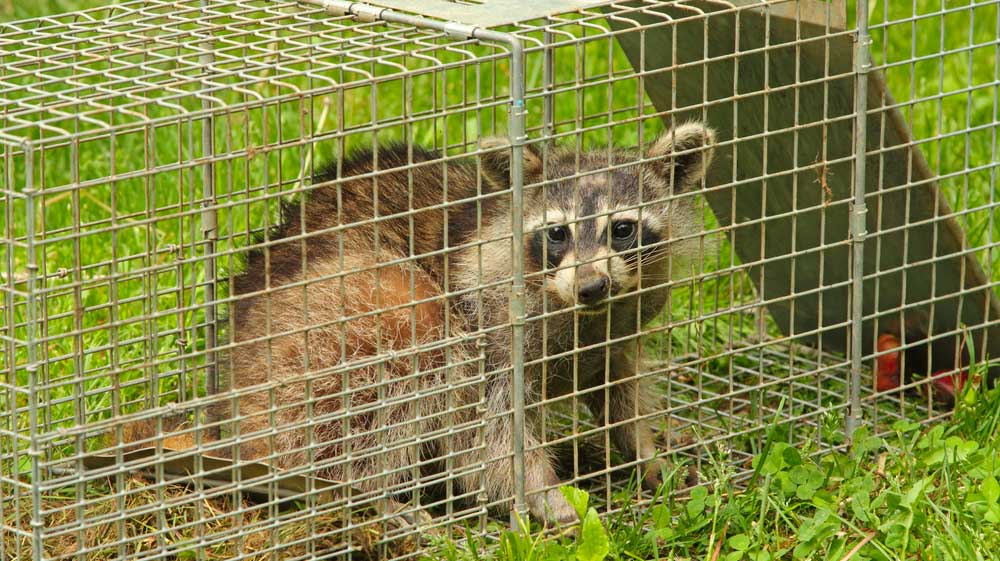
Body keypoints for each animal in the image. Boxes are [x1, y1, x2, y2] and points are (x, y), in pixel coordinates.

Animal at [158, 121, 712, 524]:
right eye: (557, 234)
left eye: (623, 229)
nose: (591, 286)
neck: (579, 314)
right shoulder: (489, 328)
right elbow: (488, 439)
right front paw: (546, 496)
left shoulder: (618, 326)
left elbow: (620, 390)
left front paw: (647, 454)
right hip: (320, 333)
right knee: (403, 356)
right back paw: (364, 494)